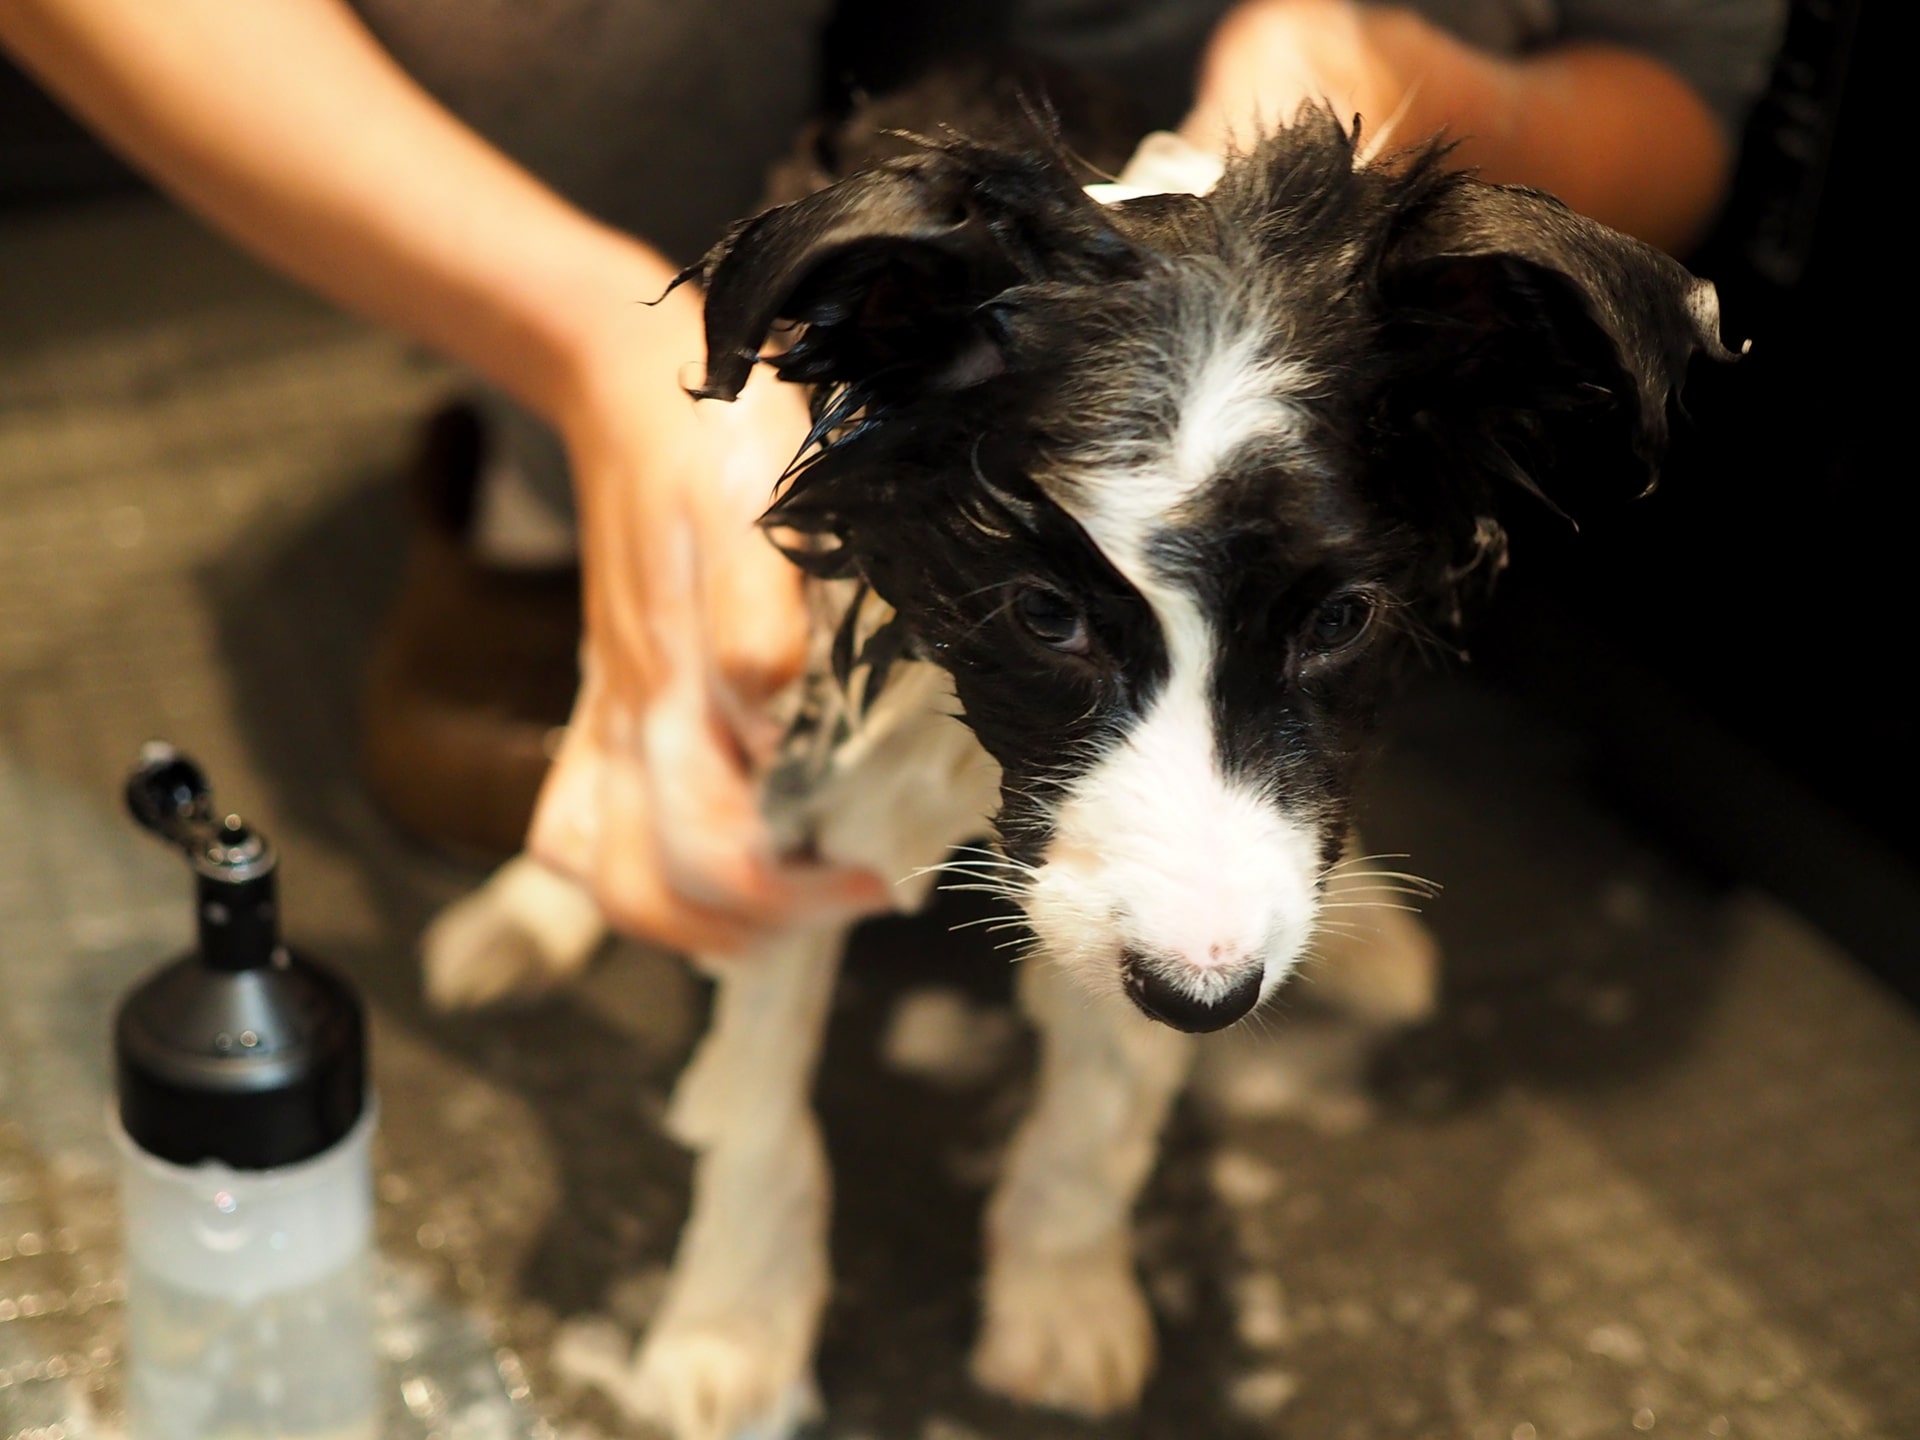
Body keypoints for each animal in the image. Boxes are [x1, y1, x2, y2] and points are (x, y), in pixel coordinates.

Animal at [428, 93, 1735, 1440]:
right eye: (1045, 615)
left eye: (1341, 621)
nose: (1210, 997)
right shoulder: (800, 782)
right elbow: (758, 1099)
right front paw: (730, 1328)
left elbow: (1102, 1106)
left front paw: (1062, 1302)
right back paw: (531, 911)